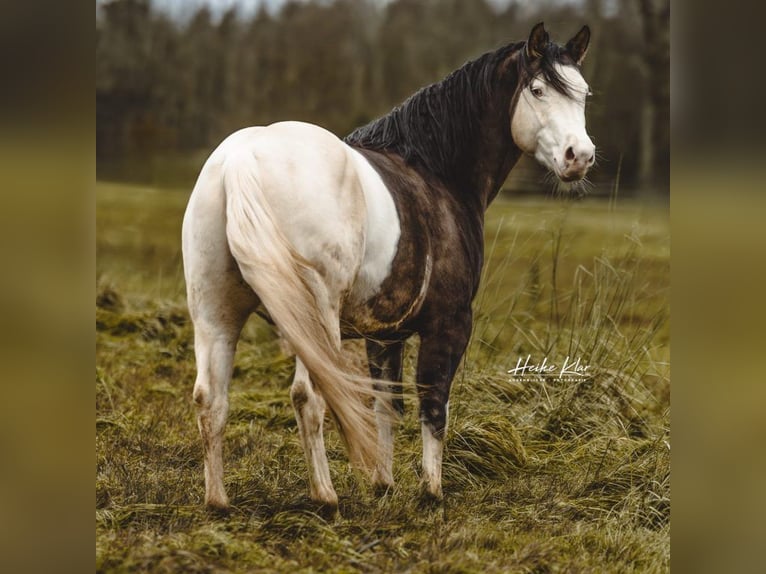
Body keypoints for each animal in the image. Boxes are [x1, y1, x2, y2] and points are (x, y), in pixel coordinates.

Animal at [182, 22, 595, 512]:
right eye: (537, 90)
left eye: (583, 94)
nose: (579, 156)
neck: (437, 173)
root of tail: (242, 160)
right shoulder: (449, 324)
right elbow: (433, 404)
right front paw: (430, 491)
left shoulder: (384, 336)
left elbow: (385, 406)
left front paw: (383, 483)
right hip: (314, 319)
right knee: (309, 396)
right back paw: (325, 497)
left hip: (215, 315)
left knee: (211, 399)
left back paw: (218, 500)